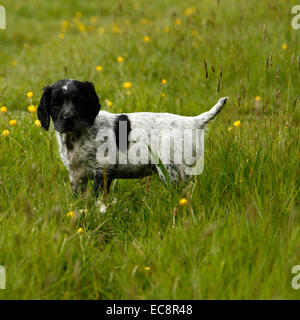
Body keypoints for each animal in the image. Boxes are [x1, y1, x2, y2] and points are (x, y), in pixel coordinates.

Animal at [37, 79, 226, 195]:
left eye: (79, 101)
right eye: (56, 103)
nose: (68, 118)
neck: (78, 137)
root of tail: (192, 121)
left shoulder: (102, 171)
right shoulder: (76, 176)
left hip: (171, 170)